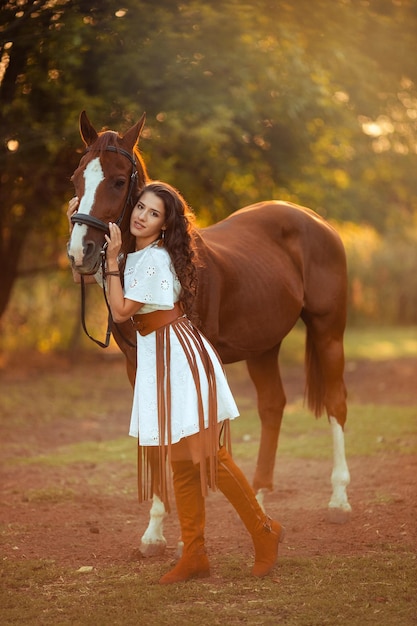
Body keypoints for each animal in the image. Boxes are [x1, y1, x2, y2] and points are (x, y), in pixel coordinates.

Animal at [66, 109, 350, 552]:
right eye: (77, 178)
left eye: (117, 180)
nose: (81, 253)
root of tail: (316, 221)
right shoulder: (138, 365)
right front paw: (154, 532)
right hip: (263, 346)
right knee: (273, 406)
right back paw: (259, 503)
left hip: (328, 332)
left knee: (336, 403)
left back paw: (338, 500)